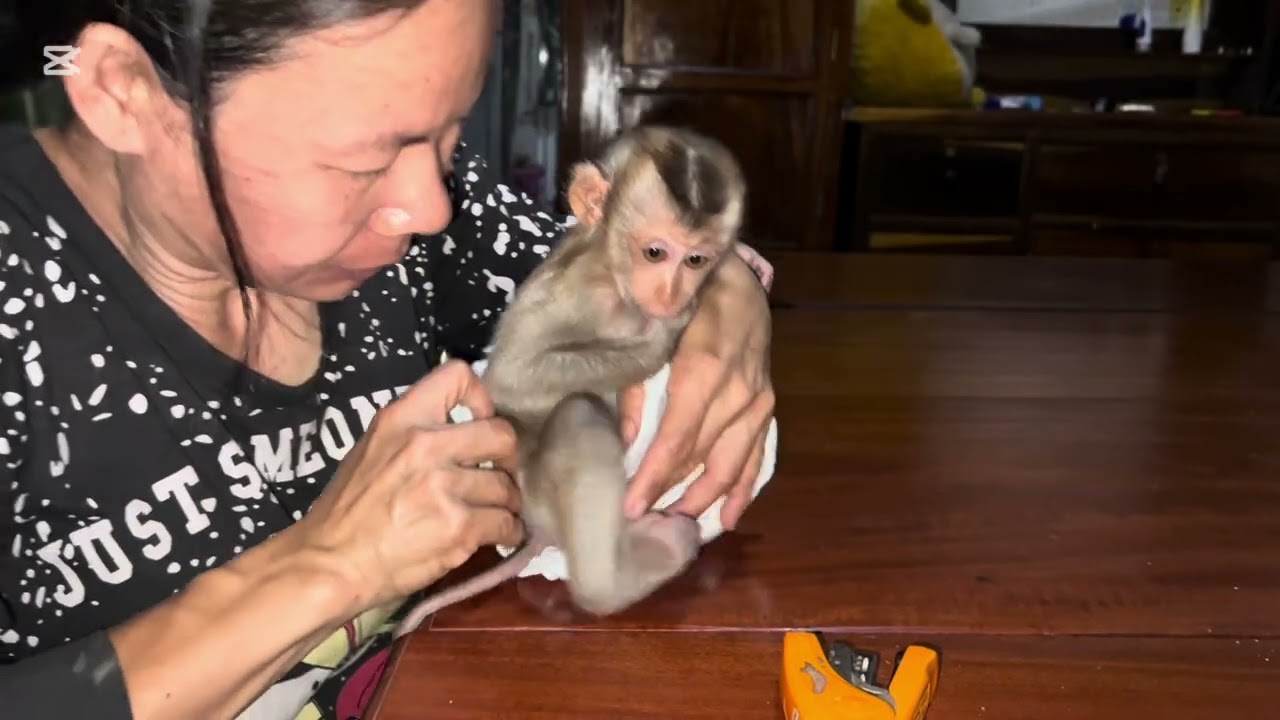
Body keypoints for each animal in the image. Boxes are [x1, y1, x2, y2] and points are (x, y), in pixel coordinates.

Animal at [391, 125, 748, 638]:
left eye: (696, 260)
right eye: (655, 253)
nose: (671, 294)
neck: (613, 275)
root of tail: (536, 524)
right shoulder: (584, 295)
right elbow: (513, 377)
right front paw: (664, 335)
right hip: (537, 487)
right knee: (579, 414)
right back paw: (627, 573)